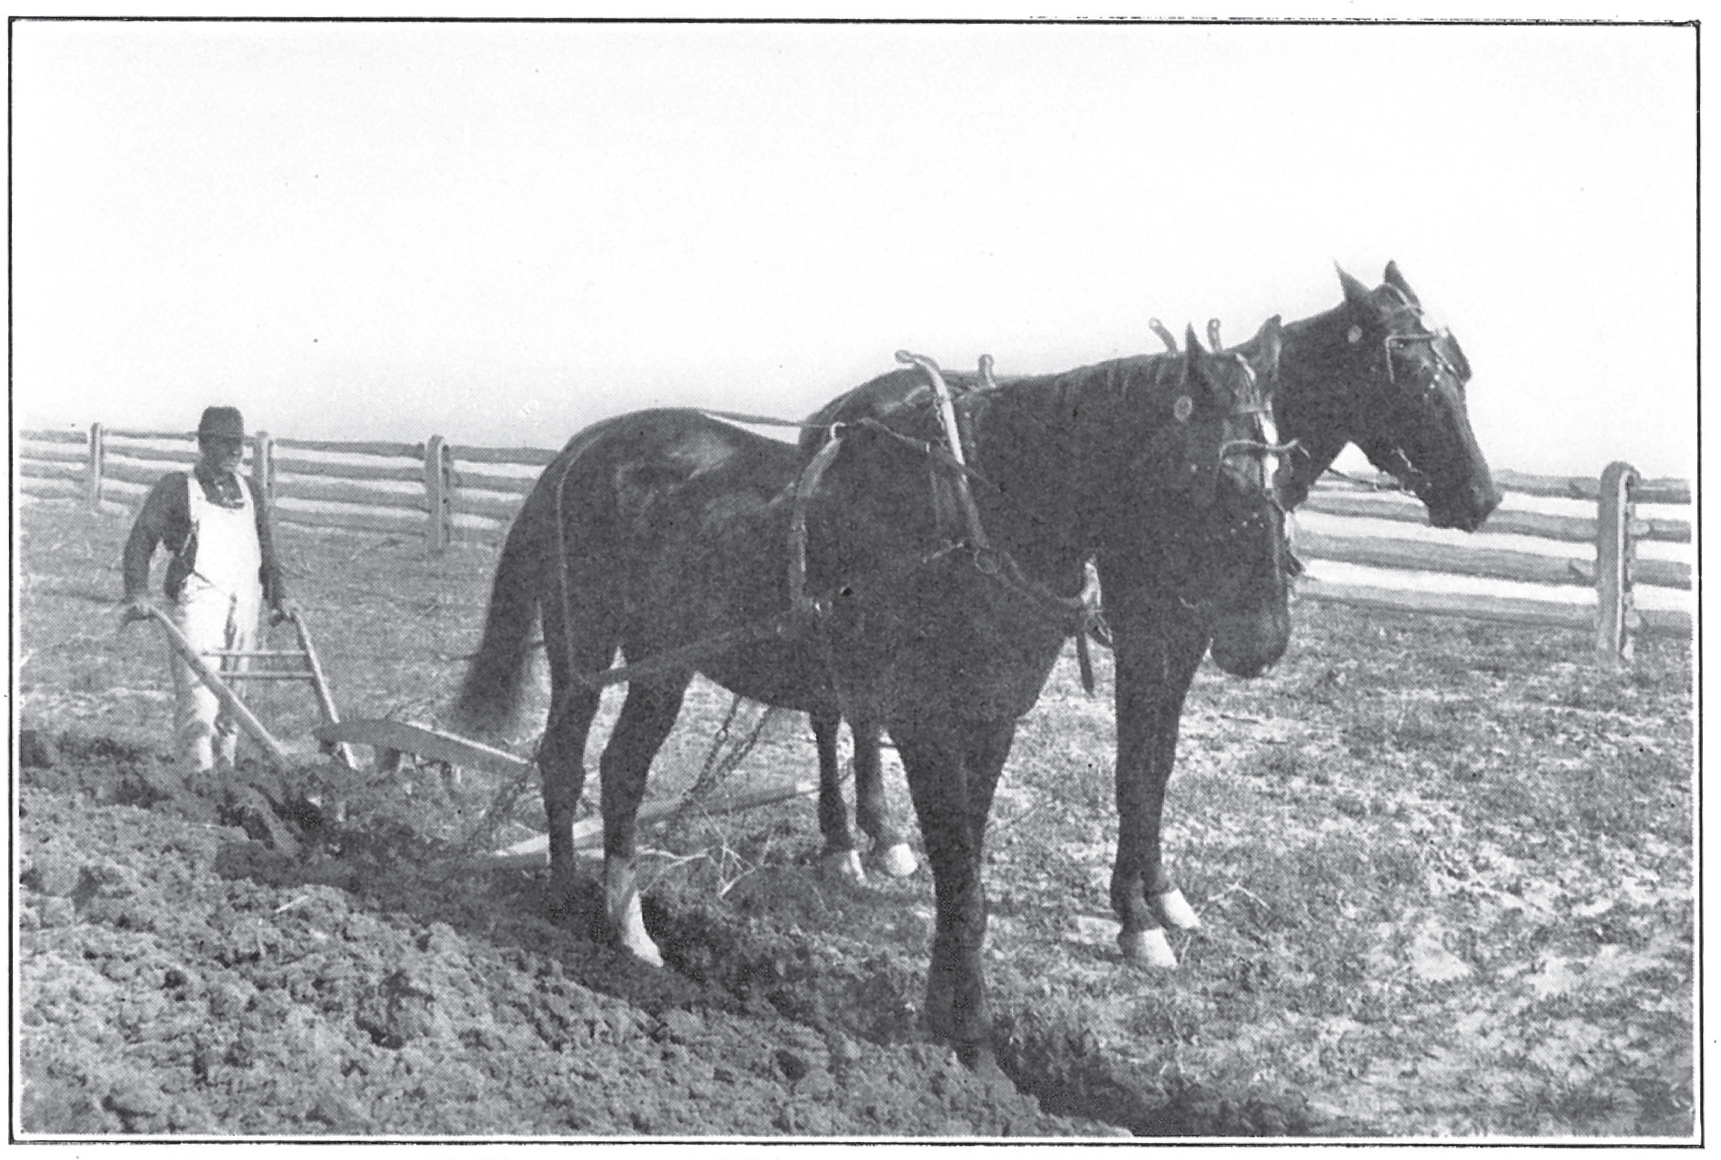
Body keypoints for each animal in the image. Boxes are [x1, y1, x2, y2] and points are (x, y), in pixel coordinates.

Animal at [454, 320, 1294, 1060]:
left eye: (1283, 469)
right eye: (1219, 472)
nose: (1263, 638)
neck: (981, 517)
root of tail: (581, 448)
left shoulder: (990, 723)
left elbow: (964, 882)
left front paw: (942, 1019)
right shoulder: (925, 726)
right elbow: (963, 890)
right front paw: (975, 1044)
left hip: (661, 664)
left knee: (622, 770)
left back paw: (630, 933)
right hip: (584, 650)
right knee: (563, 762)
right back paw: (565, 906)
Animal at [798, 261, 1500, 963]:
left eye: (1462, 372)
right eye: (1414, 378)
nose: (1483, 497)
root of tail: (839, 413)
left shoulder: (1186, 638)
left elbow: (1158, 761)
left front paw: (1160, 891)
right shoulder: (1144, 637)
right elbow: (1132, 767)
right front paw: (1134, 915)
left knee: (864, 712)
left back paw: (884, 834)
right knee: (830, 714)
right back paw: (844, 843)